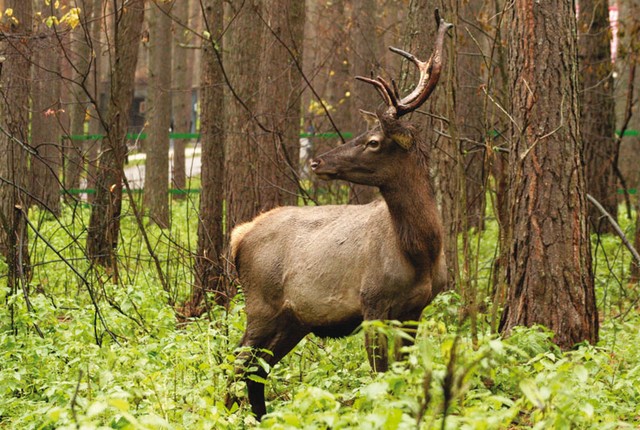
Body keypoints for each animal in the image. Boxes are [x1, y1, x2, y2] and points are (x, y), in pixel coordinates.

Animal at [228, 10, 452, 420]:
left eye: (373, 141)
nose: (317, 161)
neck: (422, 250)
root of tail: (239, 235)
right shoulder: (374, 302)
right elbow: (381, 376)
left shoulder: (415, 310)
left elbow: (403, 373)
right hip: (261, 304)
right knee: (237, 364)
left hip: (292, 319)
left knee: (256, 370)